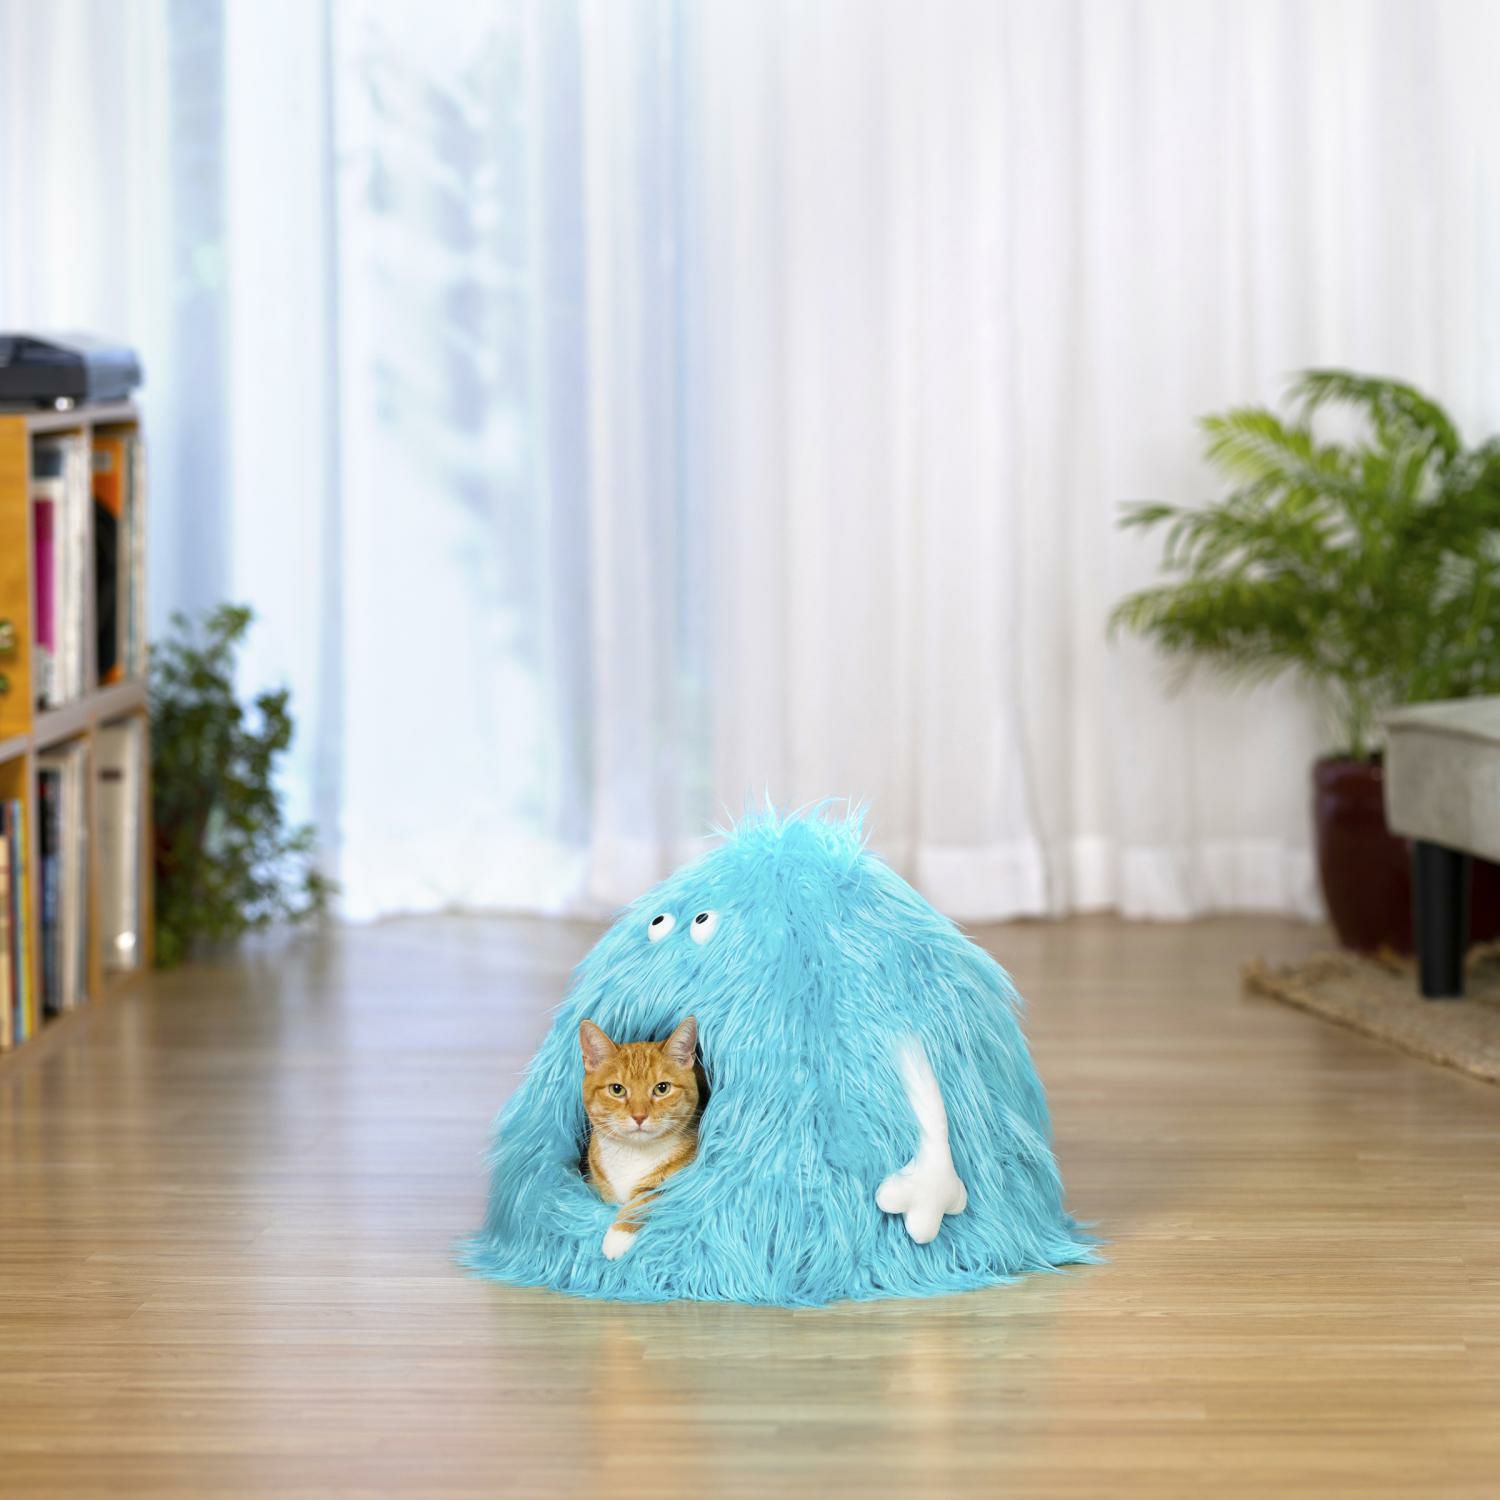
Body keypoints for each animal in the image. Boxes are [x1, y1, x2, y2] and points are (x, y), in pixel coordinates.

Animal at [579, 1014, 701, 1260]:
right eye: (617, 1089)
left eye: (662, 1088)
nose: (639, 1116)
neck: (633, 1152)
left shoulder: (675, 1182)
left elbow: (642, 1201)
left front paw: (617, 1235)